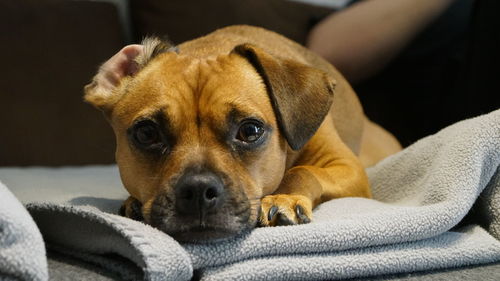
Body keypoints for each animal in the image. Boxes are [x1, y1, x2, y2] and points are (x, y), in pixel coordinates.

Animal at [84, 24, 400, 241]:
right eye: (147, 134)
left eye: (250, 130)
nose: (198, 190)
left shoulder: (349, 169)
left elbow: (303, 171)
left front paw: (285, 199)